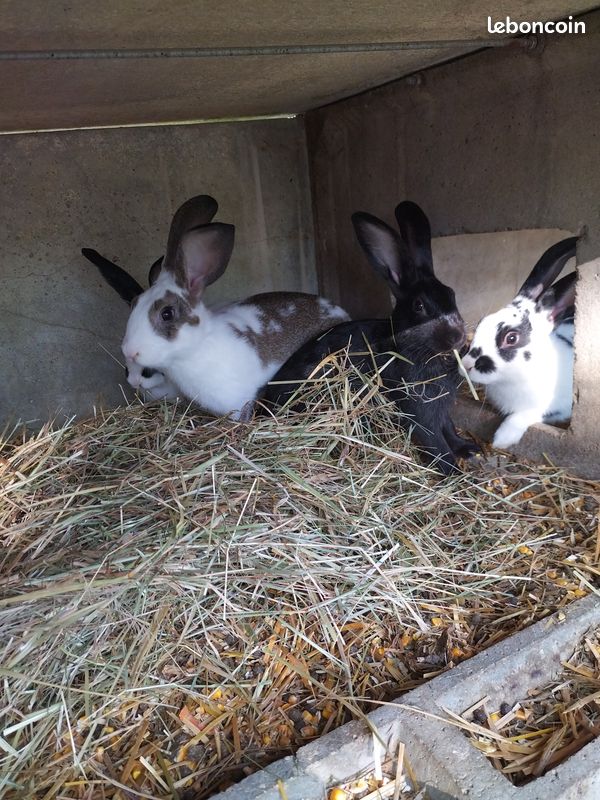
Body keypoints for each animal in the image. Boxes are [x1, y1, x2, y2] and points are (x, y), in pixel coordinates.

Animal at [260, 202, 478, 474]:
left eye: (451, 294)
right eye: (419, 306)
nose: (458, 336)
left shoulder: (442, 409)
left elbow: (449, 428)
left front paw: (468, 449)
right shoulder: (419, 411)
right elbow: (435, 441)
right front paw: (454, 472)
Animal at [461, 237, 578, 449]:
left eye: (511, 338)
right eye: (481, 323)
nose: (466, 365)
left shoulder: (560, 406)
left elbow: (528, 414)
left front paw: (502, 439)